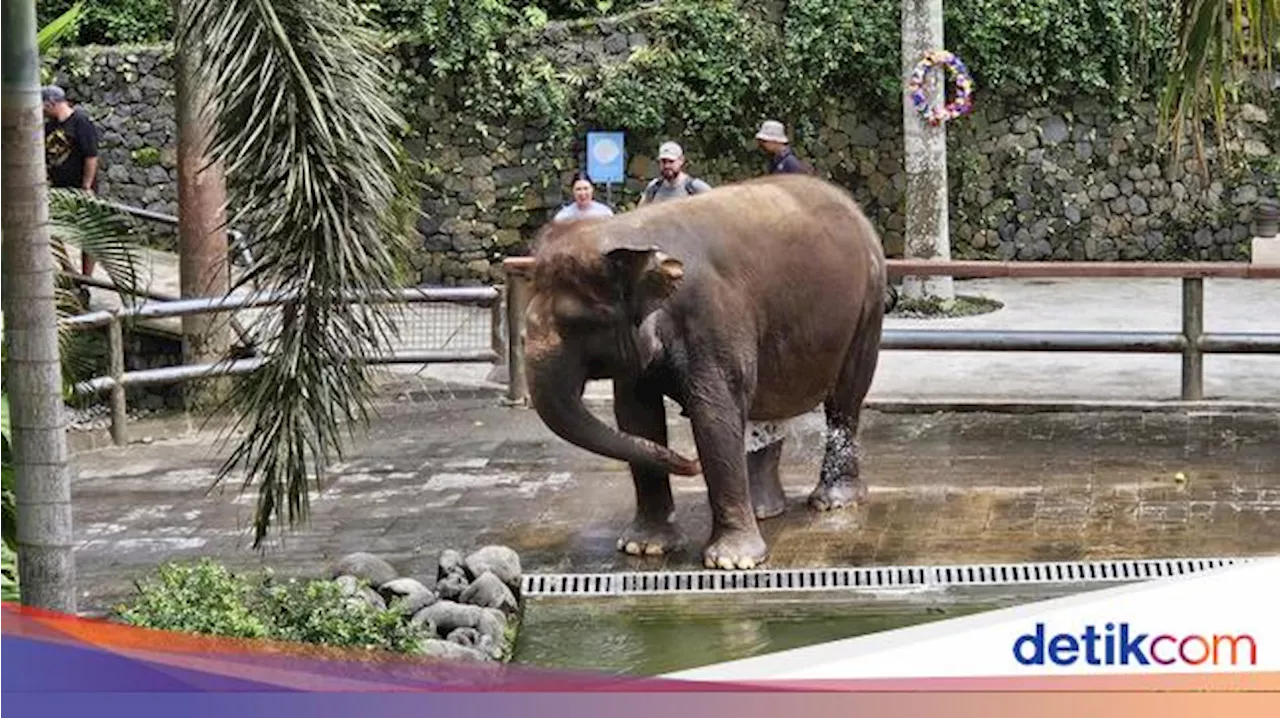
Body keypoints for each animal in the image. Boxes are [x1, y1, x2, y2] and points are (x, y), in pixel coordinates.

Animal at [514, 172, 885, 570]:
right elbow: (636, 416)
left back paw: (834, 502)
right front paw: (644, 548)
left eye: (582, 324)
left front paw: (733, 562)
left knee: (846, 399)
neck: (633, 233)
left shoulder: (713, 316)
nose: (689, 464)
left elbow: (714, 414)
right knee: (769, 404)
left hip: (869, 304)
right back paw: (764, 510)